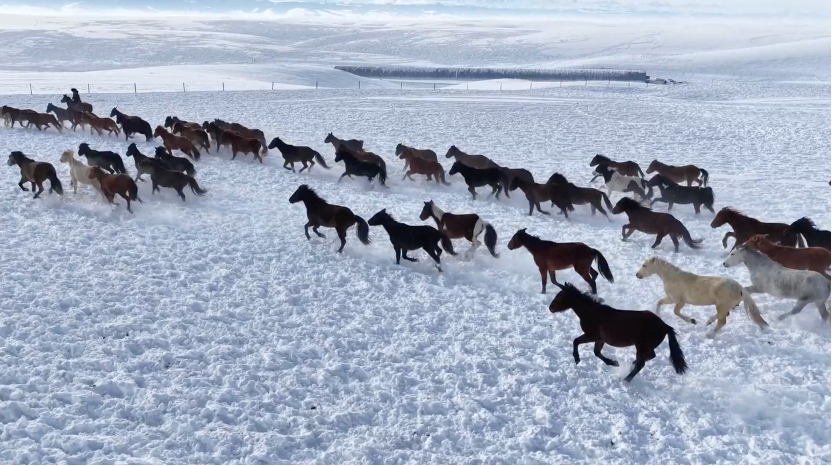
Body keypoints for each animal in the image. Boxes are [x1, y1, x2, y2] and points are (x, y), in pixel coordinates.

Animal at [548, 282, 687, 383]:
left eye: (560, 295)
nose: (550, 308)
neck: (592, 312)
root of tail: (665, 326)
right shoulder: (600, 339)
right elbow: (597, 352)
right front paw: (614, 363)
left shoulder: (592, 335)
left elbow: (576, 341)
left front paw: (577, 359)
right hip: (646, 346)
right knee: (650, 356)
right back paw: (631, 365)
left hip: (642, 346)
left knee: (641, 363)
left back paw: (626, 380)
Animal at [636, 257, 766, 335]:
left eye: (644, 265)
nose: (637, 275)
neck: (672, 277)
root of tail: (740, 288)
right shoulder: (675, 300)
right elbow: (660, 302)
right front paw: (658, 315)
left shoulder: (678, 300)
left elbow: (675, 311)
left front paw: (692, 321)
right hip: (725, 306)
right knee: (725, 315)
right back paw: (708, 321)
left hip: (721, 306)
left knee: (722, 321)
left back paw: (710, 335)